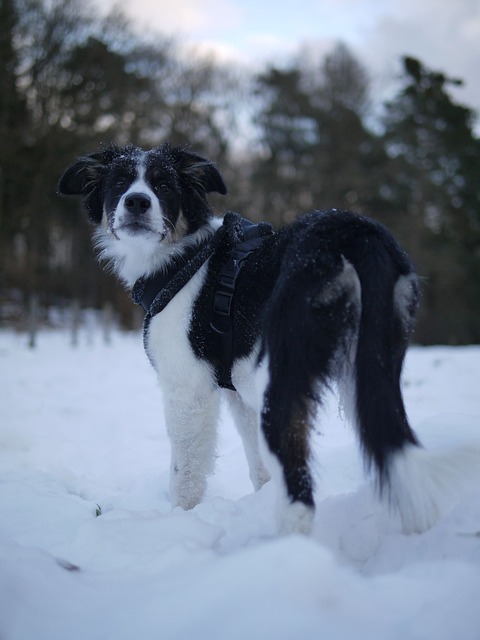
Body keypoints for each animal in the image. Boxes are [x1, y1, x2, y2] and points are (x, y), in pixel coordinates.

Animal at [59, 144, 462, 536]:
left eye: (164, 186)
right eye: (119, 182)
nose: (137, 202)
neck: (184, 256)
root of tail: (351, 233)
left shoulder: (187, 389)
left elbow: (185, 473)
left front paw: (178, 521)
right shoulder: (239, 393)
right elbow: (259, 467)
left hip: (283, 380)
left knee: (300, 492)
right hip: (370, 370)